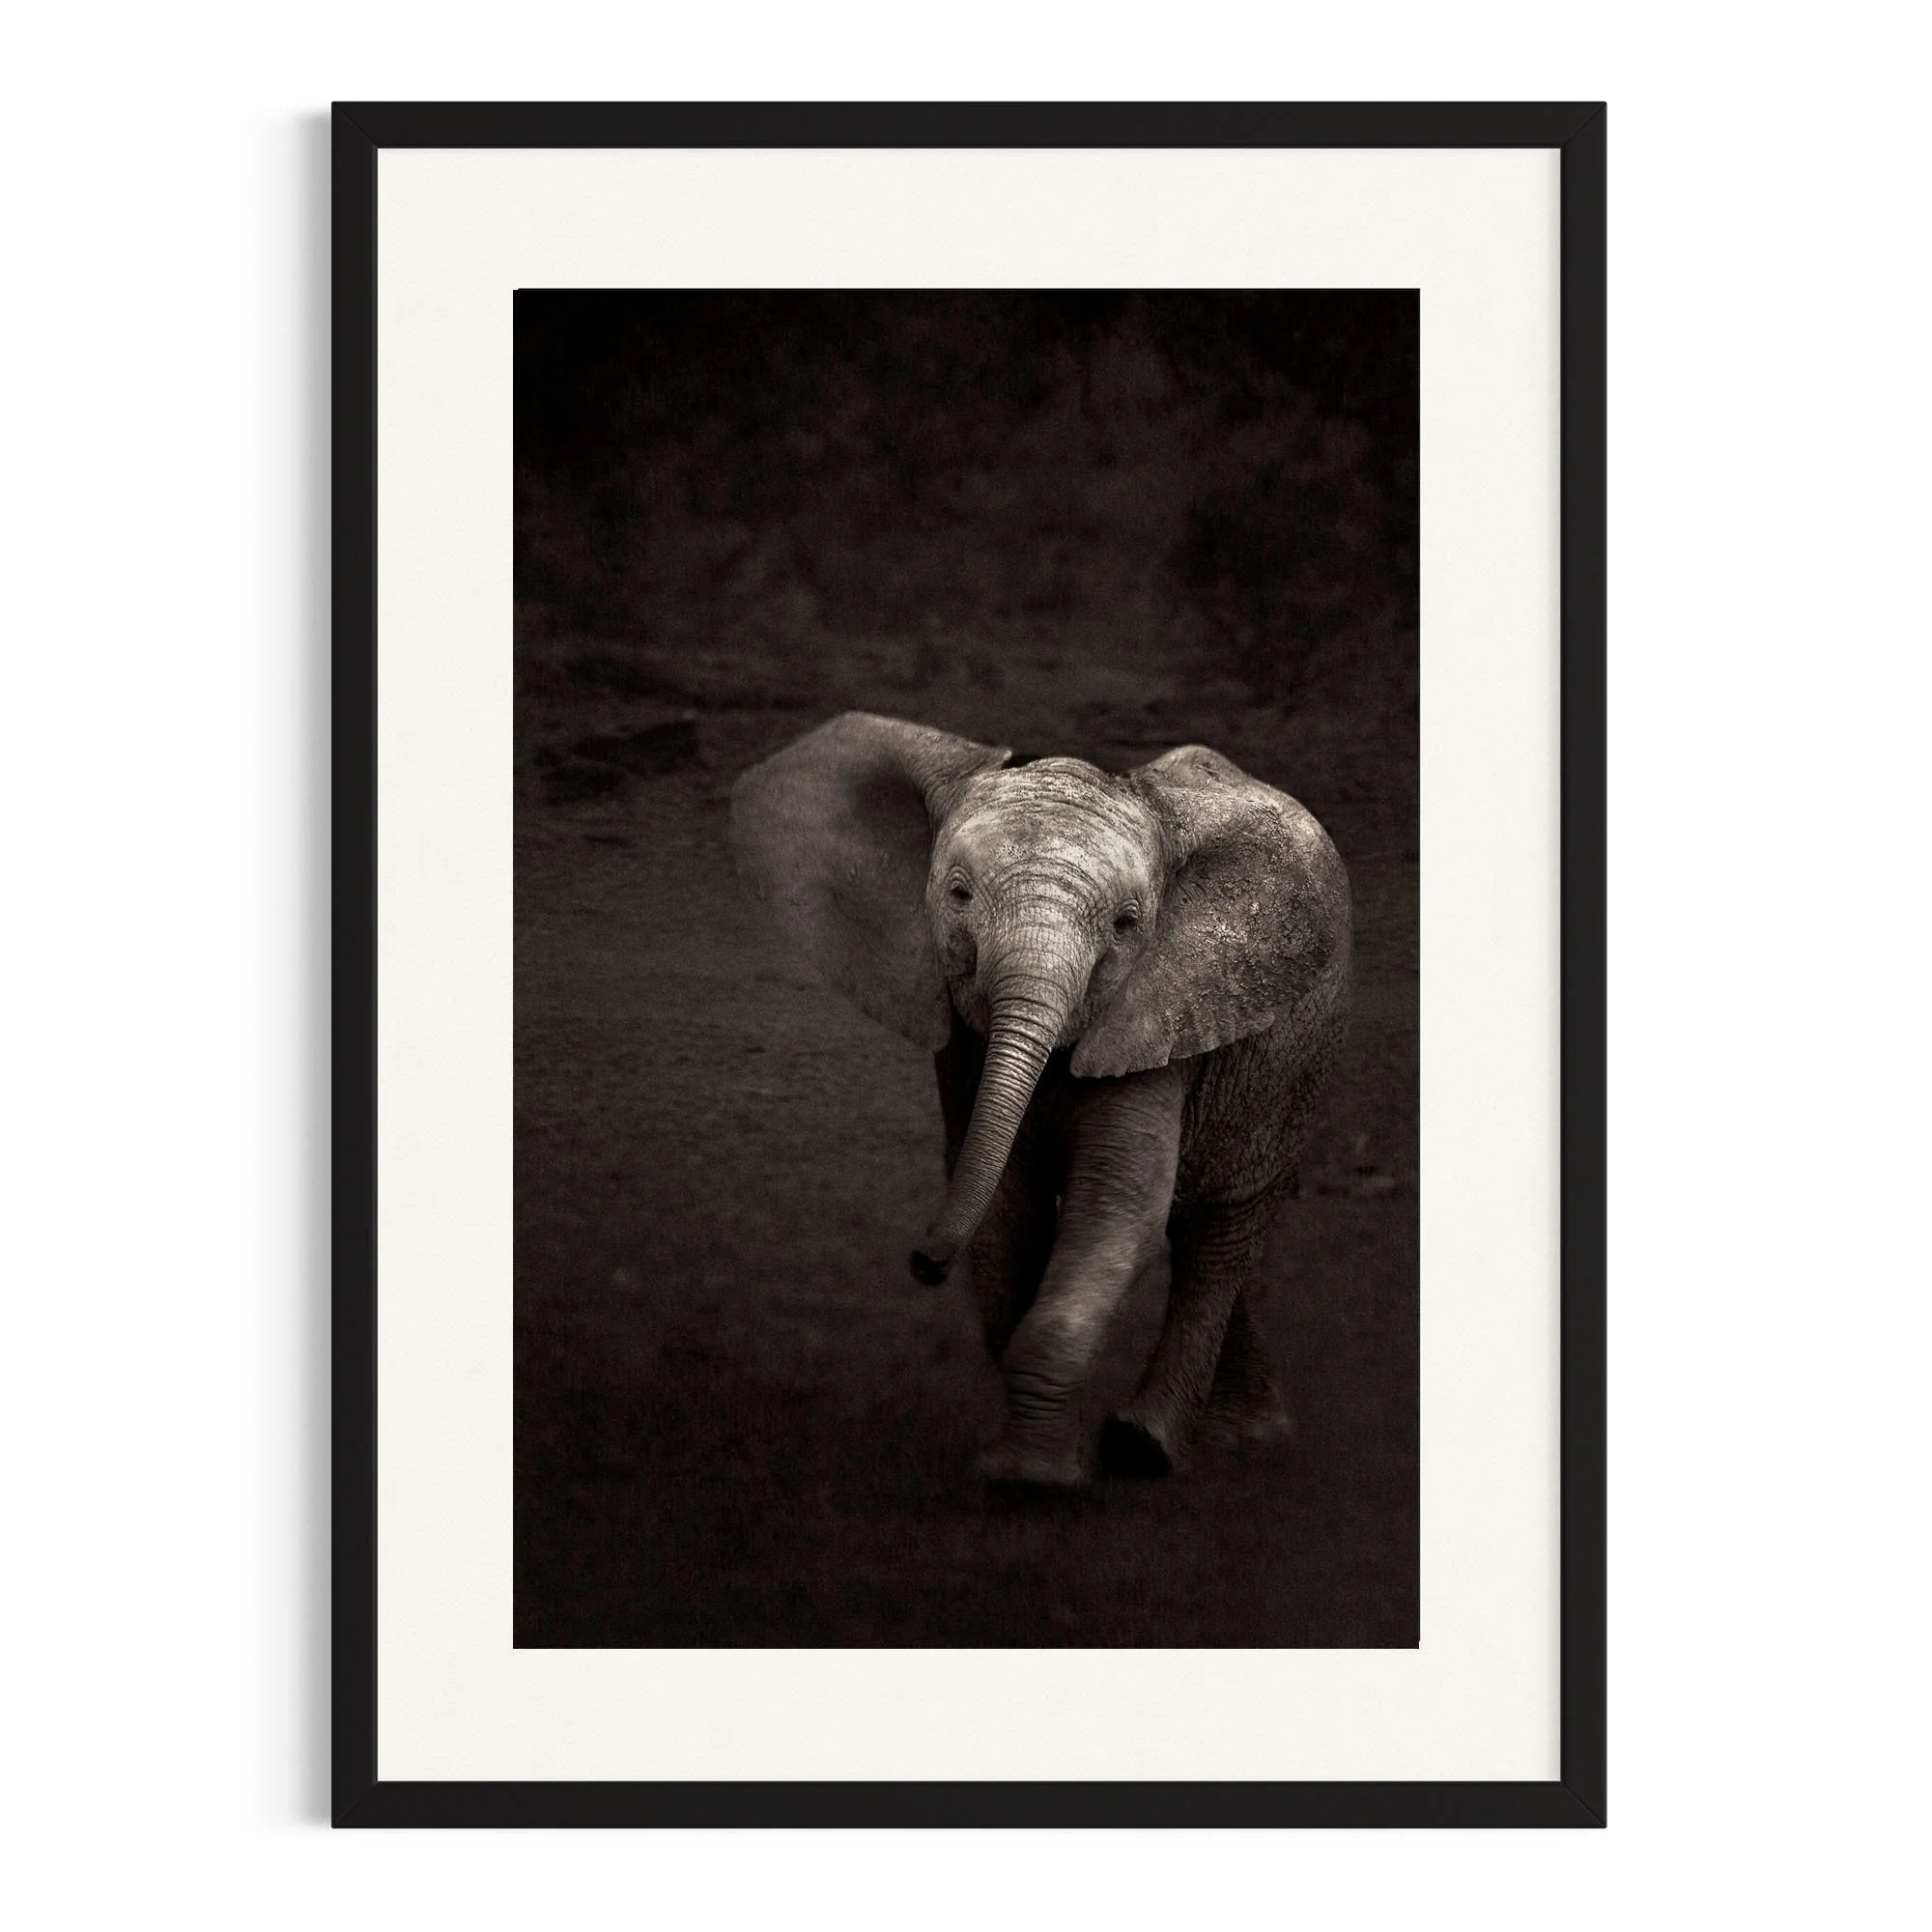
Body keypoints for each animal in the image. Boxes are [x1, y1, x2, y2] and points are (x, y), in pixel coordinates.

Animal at [730, 711, 1351, 1487]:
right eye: (959, 894)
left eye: (1126, 924)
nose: (924, 1264)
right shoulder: (968, 1050)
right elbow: (1006, 1209)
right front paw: (1031, 1461)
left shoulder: (1152, 1011)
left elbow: (1114, 1213)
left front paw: (1034, 1477)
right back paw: (1240, 1434)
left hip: (1292, 1062)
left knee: (1221, 1232)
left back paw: (1153, 1447)